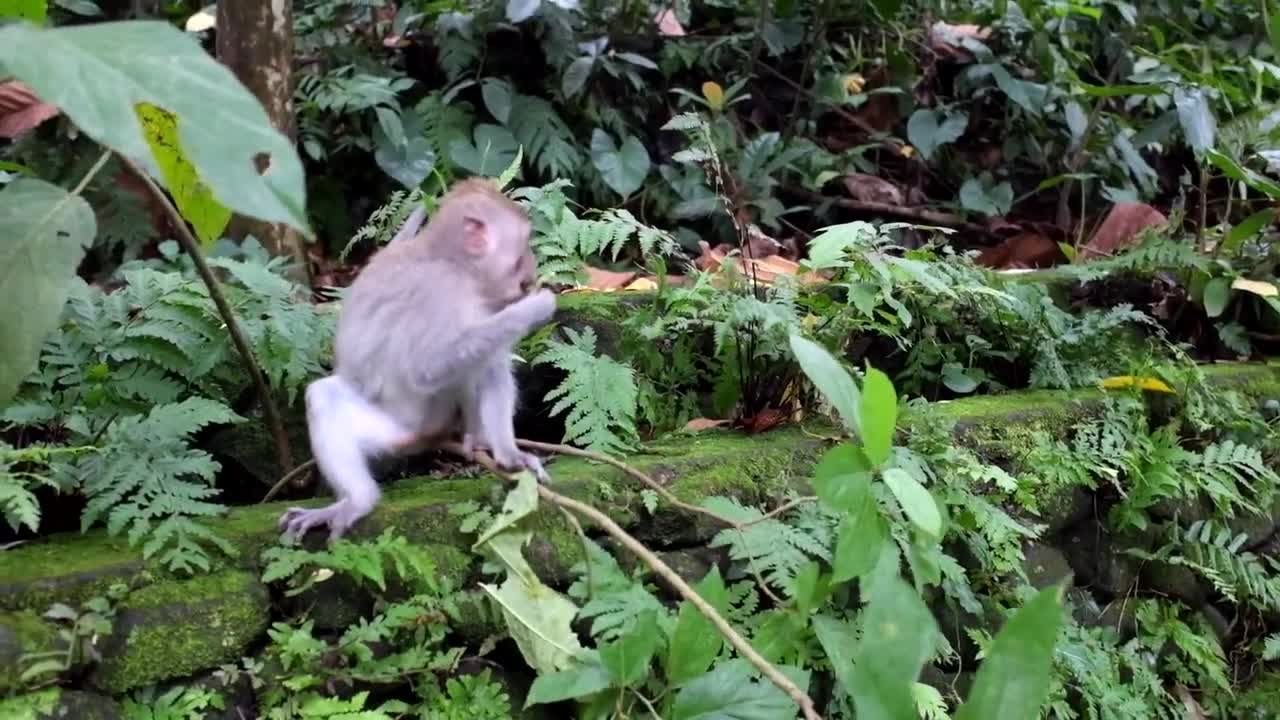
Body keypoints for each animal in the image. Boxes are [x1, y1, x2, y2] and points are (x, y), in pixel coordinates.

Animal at [282, 178, 552, 538]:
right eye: (523, 246)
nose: (532, 271)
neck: (453, 263)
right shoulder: (439, 294)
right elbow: (425, 369)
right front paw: (534, 308)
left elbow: (488, 364)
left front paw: (509, 455)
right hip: (398, 431)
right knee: (325, 396)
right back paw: (358, 501)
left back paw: (477, 439)